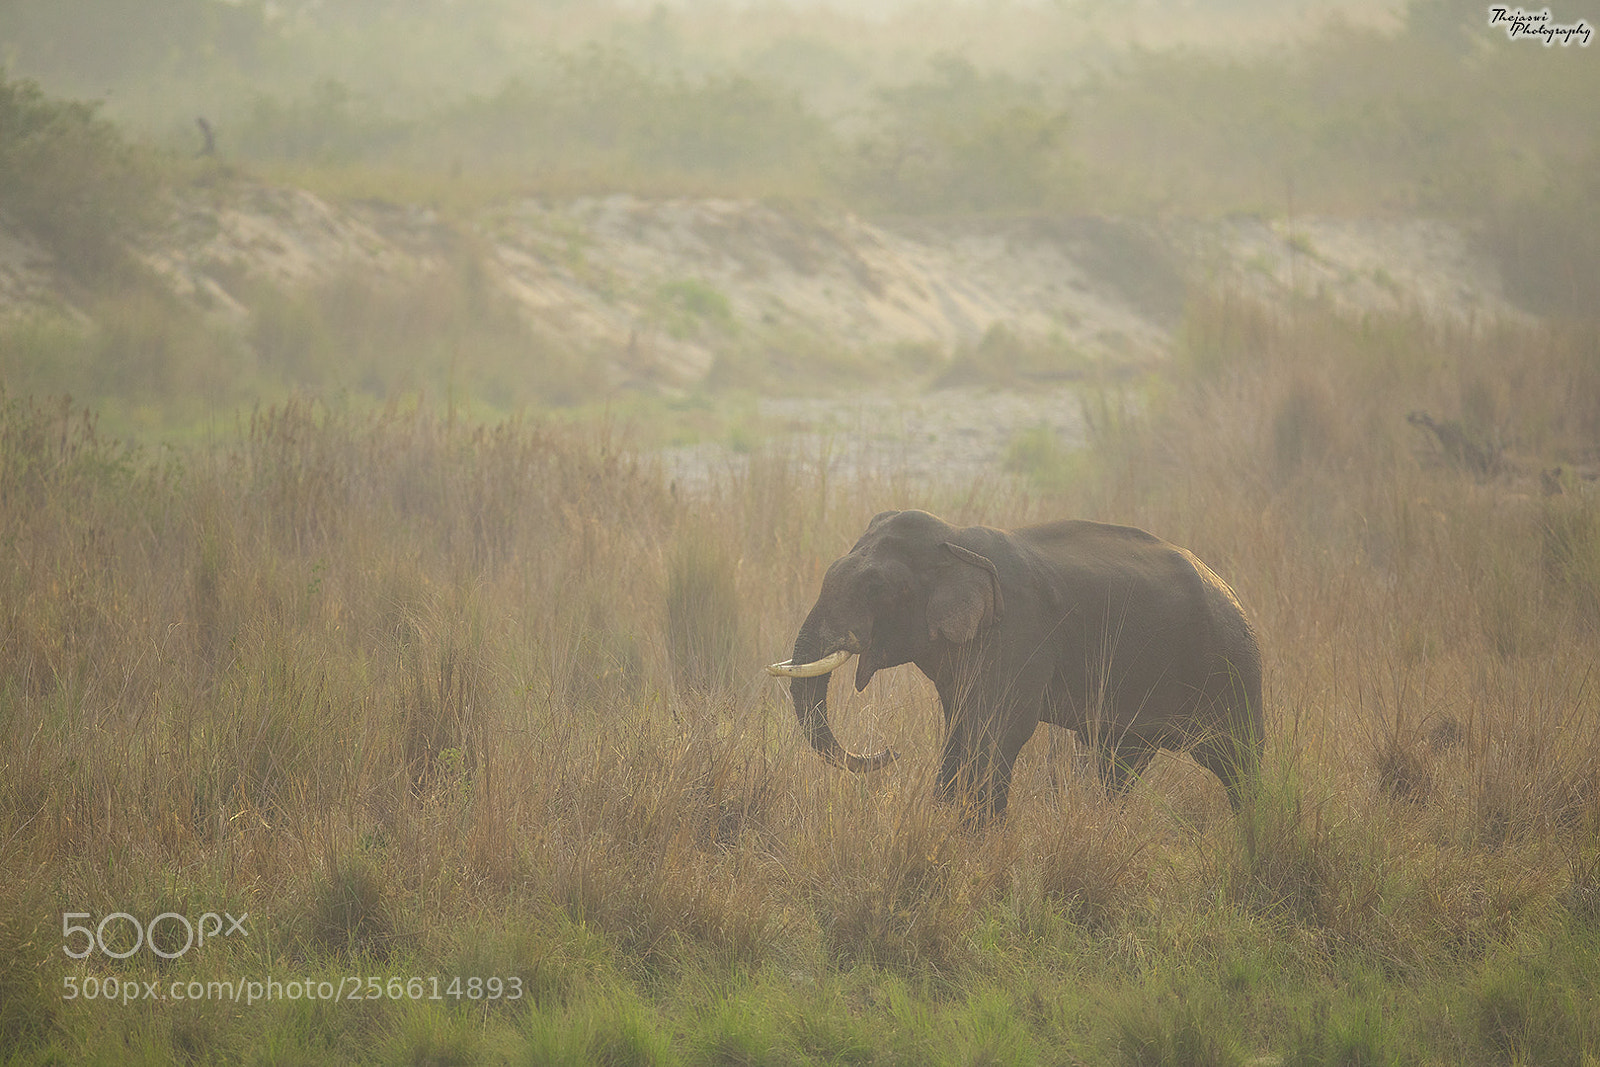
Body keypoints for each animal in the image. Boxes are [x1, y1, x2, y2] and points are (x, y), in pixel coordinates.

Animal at [767, 509, 1263, 819]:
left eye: (874, 588)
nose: (890, 753)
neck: (955, 538)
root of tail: (1232, 594)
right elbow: (962, 727)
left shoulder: (1018, 632)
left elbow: (999, 729)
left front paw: (977, 836)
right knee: (1119, 762)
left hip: (1231, 667)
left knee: (1236, 759)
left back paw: (1251, 831)